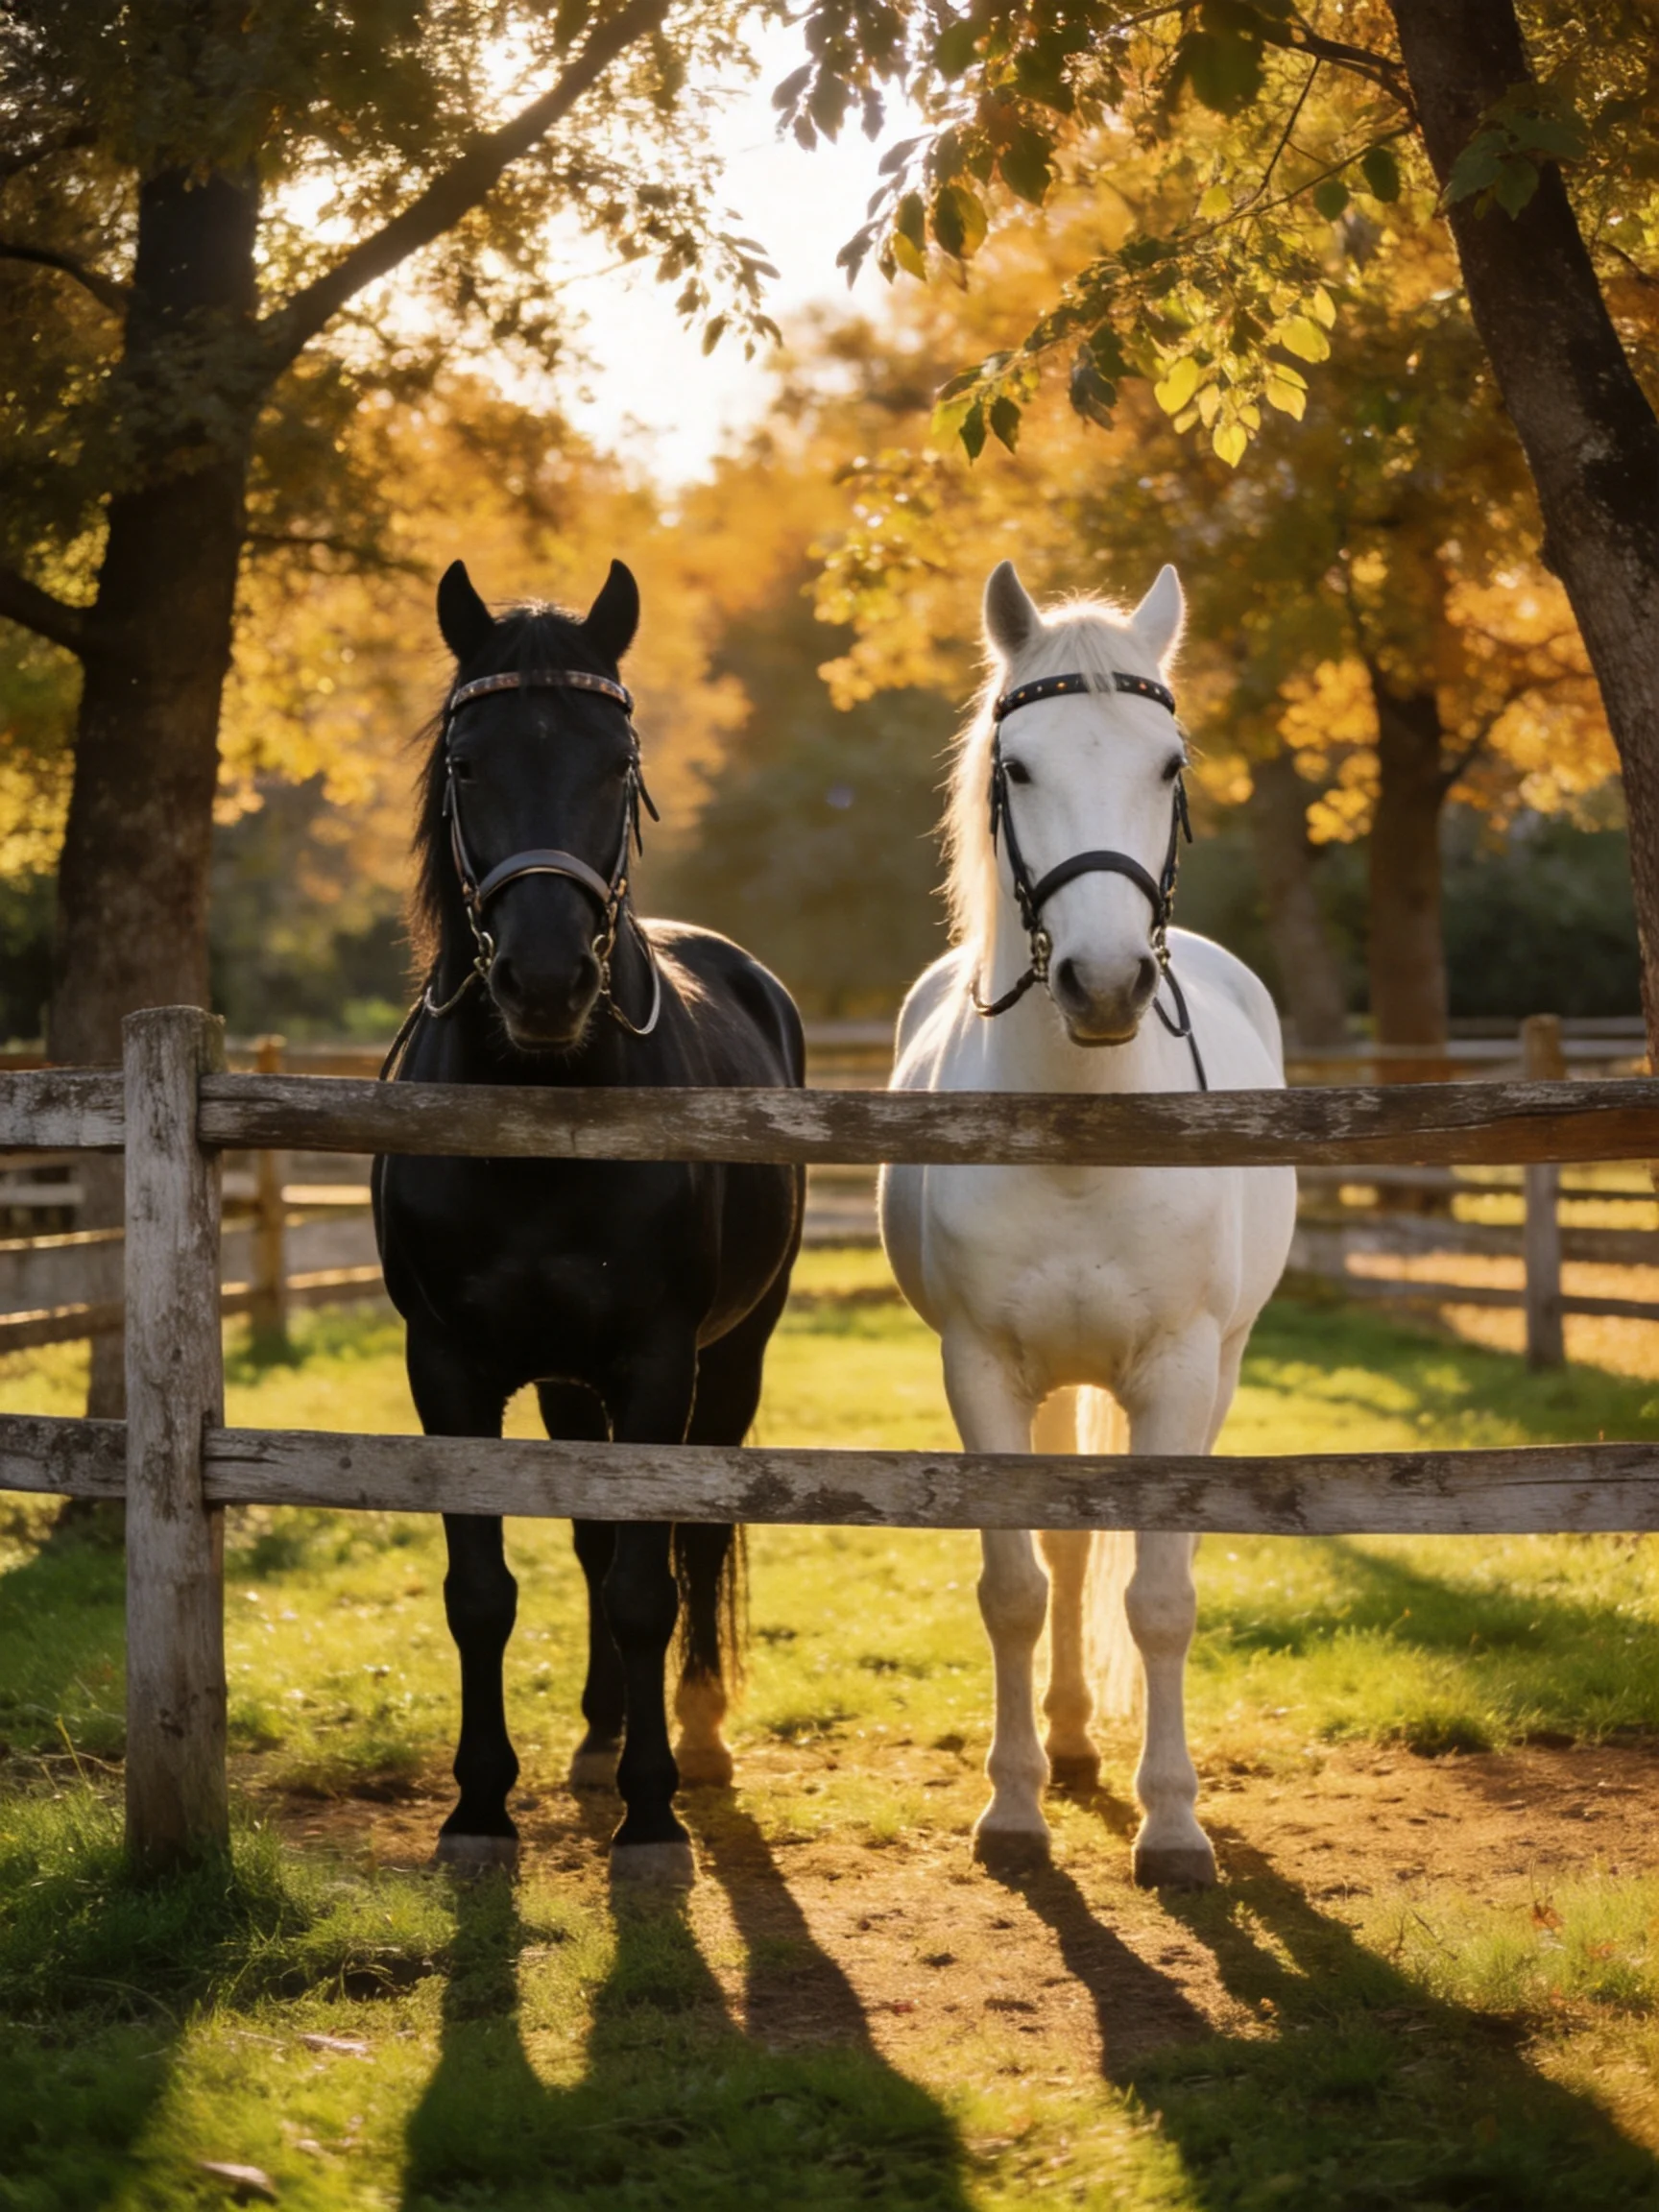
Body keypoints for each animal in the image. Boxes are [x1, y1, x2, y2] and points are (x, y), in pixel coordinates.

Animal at [372, 557, 805, 1884]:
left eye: (619, 763)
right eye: (467, 765)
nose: (548, 979)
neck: (542, 1116)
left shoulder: (660, 1364)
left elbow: (645, 1587)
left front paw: (654, 1817)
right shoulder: (449, 1369)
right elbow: (485, 1586)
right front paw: (479, 1806)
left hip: (732, 1359)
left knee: (685, 1544)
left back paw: (693, 1739)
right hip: (570, 1387)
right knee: (590, 1537)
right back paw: (605, 1738)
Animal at [879, 559, 1296, 1888]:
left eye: (1171, 764)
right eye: (1017, 768)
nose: (1106, 985)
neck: (1079, 1132)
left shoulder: (1176, 1375)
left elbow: (1161, 1597)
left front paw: (1173, 1825)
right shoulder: (980, 1374)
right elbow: (1016, 1584)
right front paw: (1012, 1808)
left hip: (1215, 1371)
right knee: (1064, 1557)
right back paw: (1063, 1748)